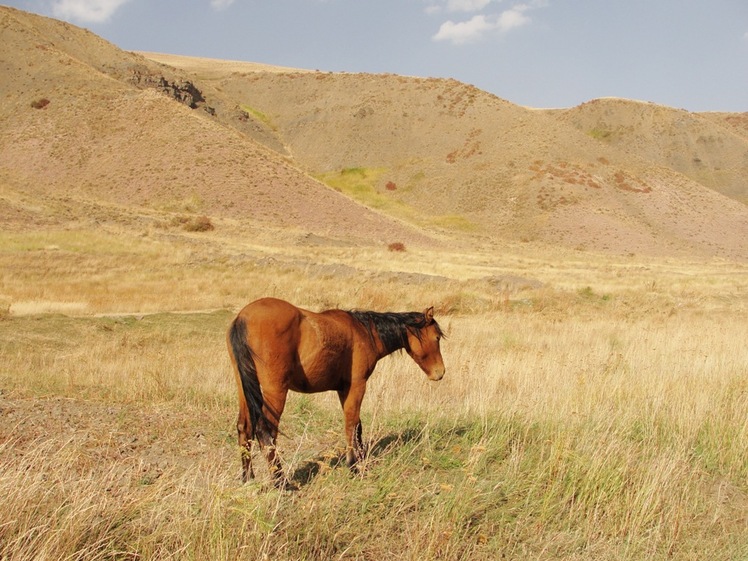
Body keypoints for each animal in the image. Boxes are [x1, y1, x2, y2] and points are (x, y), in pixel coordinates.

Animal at [222, 298, 444, 486]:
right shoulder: (357, 386)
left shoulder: (343, 389)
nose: (440, 373)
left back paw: (247, 477)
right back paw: (281, 482)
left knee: (244, 428)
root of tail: (243, 318)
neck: (364, 332)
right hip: (275, 391)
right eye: (436, 337)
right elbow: (351, 425)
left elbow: (357, 427)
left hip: (244, 389)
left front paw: (360, 459)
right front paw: (354, 466)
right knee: (266, 432)